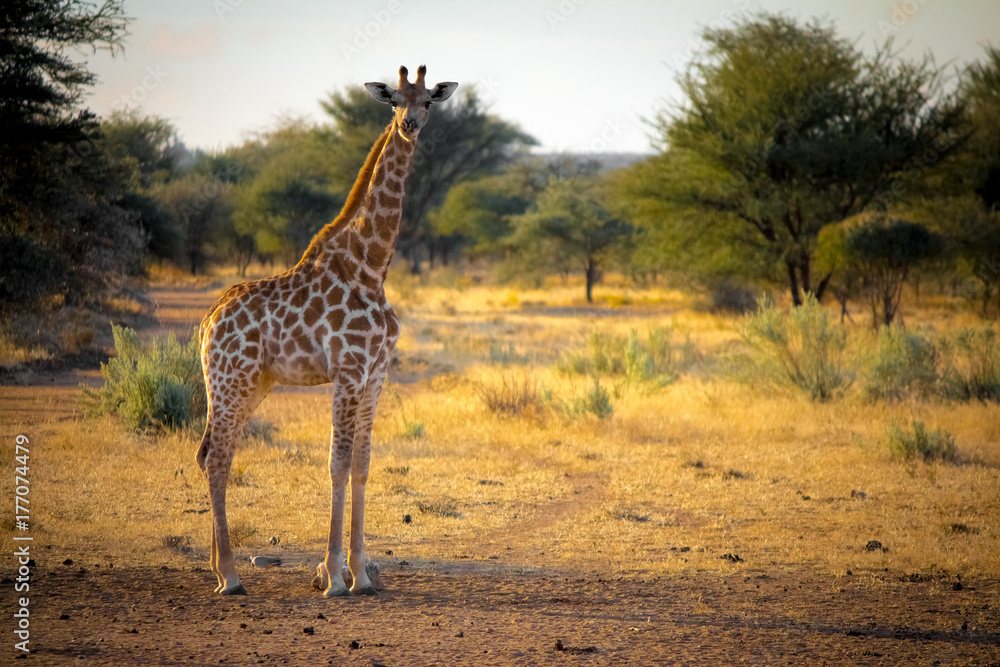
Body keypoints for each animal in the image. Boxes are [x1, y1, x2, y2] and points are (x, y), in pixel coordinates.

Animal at [196, 65, 458, 597]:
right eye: (394, 100)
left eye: (428, 102)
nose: (410, 126)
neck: (372, 267)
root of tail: (207, 322)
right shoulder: (348, 371)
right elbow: (337, 464)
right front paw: (335, 576)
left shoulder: (376, 375)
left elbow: (361, 464)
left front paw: (362, 574)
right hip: (232, 381)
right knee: (217, 458)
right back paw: (230, 576)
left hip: (250, 384)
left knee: (215, 451)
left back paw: (218, 568)